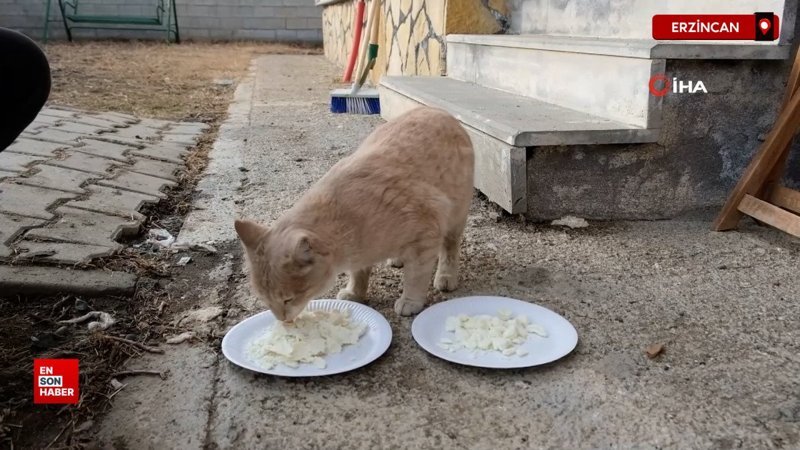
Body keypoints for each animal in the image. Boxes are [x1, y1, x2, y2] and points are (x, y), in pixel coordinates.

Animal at [238, 107, 476, 322]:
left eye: (288, 299)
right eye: (266, 301)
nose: (281, 319)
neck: (346, 215)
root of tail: (439, 111)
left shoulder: (427, 234)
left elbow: (415, 277)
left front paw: (410, 300)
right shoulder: (362, 253)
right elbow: (359, 272)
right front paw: (355, 292)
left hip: (455, 216)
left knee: (450, 248)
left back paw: (445, 276)